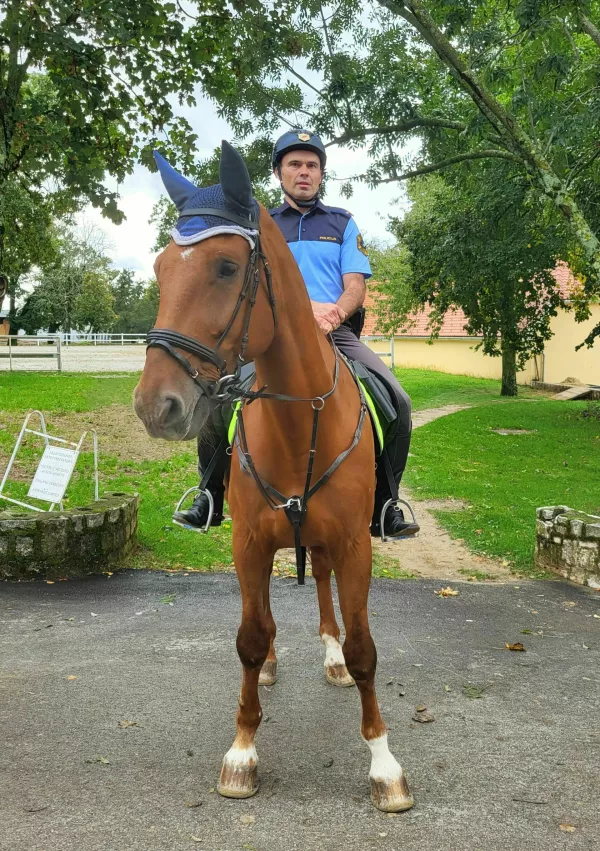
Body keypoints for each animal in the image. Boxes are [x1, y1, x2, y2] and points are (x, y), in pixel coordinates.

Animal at [132, 143, 412, 816]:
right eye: (160, 269)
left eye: (228, 267)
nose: (156, 406)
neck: (297, 419)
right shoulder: (249, 543)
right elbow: (251, 636)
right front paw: (241, 752)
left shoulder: (354, 544)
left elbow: (364, 648)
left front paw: (384, 764)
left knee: (325, 592)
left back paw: (331, 657)